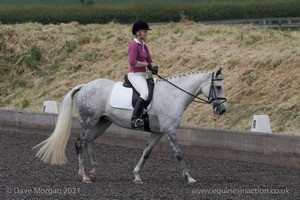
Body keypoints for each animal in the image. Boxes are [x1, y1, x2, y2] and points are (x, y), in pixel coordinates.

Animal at [33, 68, 225, 184]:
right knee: (80, 144)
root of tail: (85, 85)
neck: (174, 95)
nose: (222, 109)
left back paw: (93, 172)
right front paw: (189, 178)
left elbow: (146, 153)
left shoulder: (157, 132)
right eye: (218, 86)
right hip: (89, 121)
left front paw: (137, 175)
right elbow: (179, 154)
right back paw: (85, 176)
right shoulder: (169, 130)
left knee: (88, 142)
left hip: (102, 123)